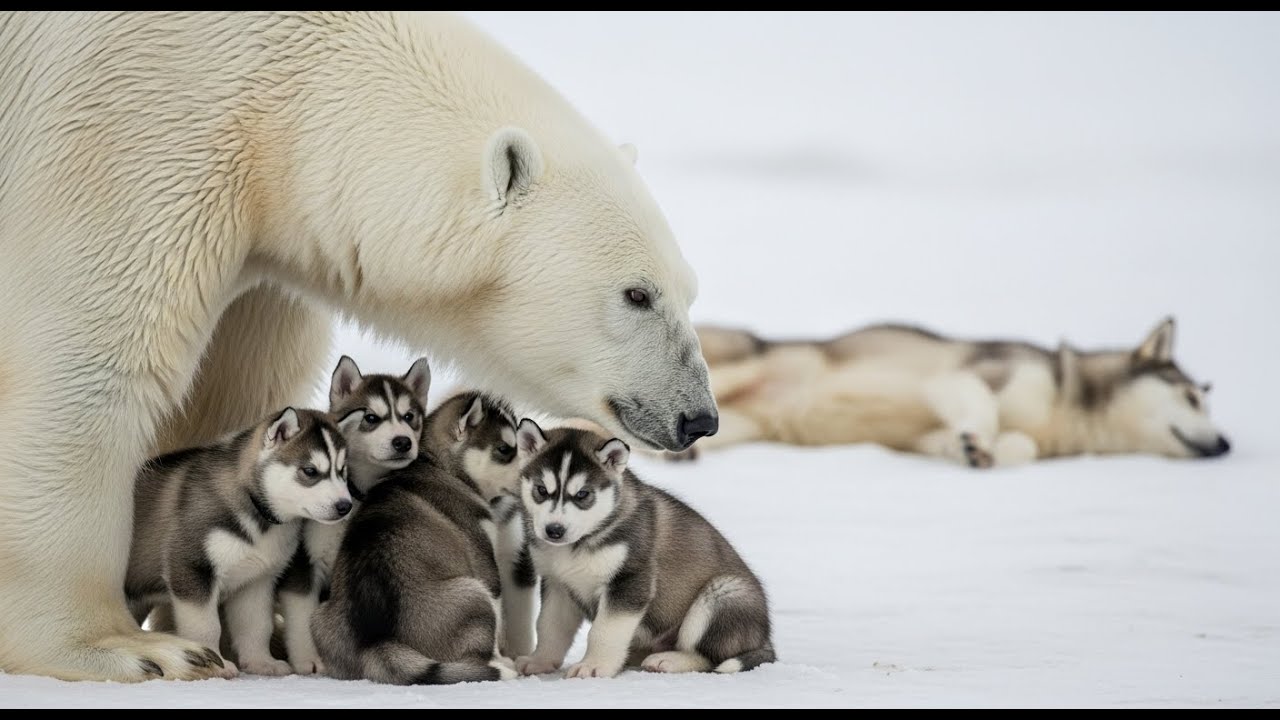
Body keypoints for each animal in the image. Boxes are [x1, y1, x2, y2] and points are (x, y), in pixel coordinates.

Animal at [0, 11, 716, 681]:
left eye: (690, 290)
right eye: (637, 294)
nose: (698, 417)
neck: (275, 93)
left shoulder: (262, 256)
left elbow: (239, 385)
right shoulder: (132, 130)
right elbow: (89, 365)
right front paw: (130, 648)